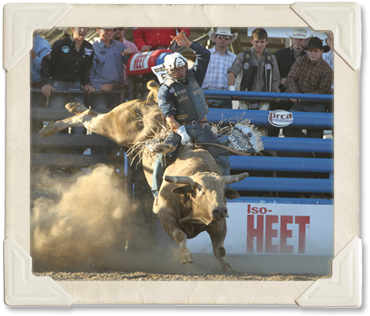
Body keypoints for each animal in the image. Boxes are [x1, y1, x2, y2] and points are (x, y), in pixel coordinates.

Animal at [39, 82, 254, 272]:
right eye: (200, 189)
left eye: (222, 190)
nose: (220, 210)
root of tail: (150, 103)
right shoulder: (165, 213)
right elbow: (179, 235)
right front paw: (186, 257)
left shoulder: (219, 223)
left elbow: (220, 248)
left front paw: (228, 267)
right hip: (118, 127)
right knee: (91, 118)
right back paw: (50, 127)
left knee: (90, 114)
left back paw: (72, 108)